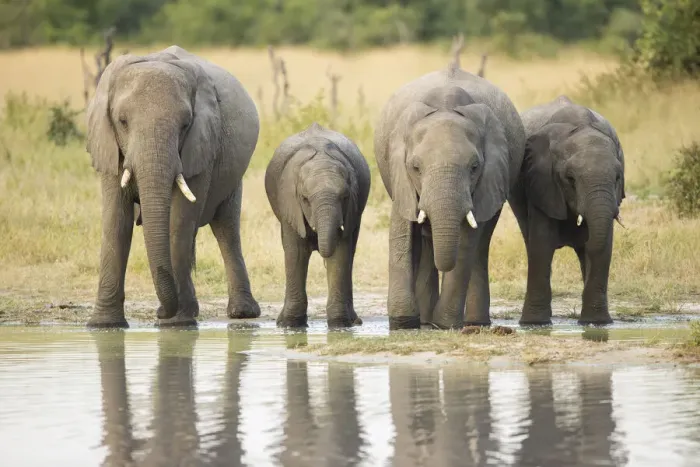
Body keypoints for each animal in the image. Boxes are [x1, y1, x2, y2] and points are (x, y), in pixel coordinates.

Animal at [85, 45, 261, 328]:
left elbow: (179, 220)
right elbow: (116, 222)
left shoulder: (201, 147)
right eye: (122, 122)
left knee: (227, 228)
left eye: (185, 125)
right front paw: (104, 325)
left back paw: (242, 313)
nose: (161, 314)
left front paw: (177, 322)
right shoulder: (109, 146)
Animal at [265, 123, 370, 328]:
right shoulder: (289, 202)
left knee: (351, 253)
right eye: (305, 199)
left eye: (344, 197)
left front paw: (339, 324)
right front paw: (289, 324)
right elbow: (295, 252)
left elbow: (340, 253)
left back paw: (354, 322)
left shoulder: (351, 208)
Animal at [374, 67, 525, 330]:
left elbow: (466, 240)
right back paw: (426, 321)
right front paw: (403, 323)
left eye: (474, 167)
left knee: (480, 244)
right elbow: (402, 231)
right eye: (415, 168)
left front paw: (445, 324)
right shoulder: (399, 175)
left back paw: (473, 323)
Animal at [509, 95, 625, 325]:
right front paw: (534, 323)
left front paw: (596, 323)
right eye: (570, 179)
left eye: (618, 177)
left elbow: (605, 246)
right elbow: (542, 244)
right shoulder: (542, 182)